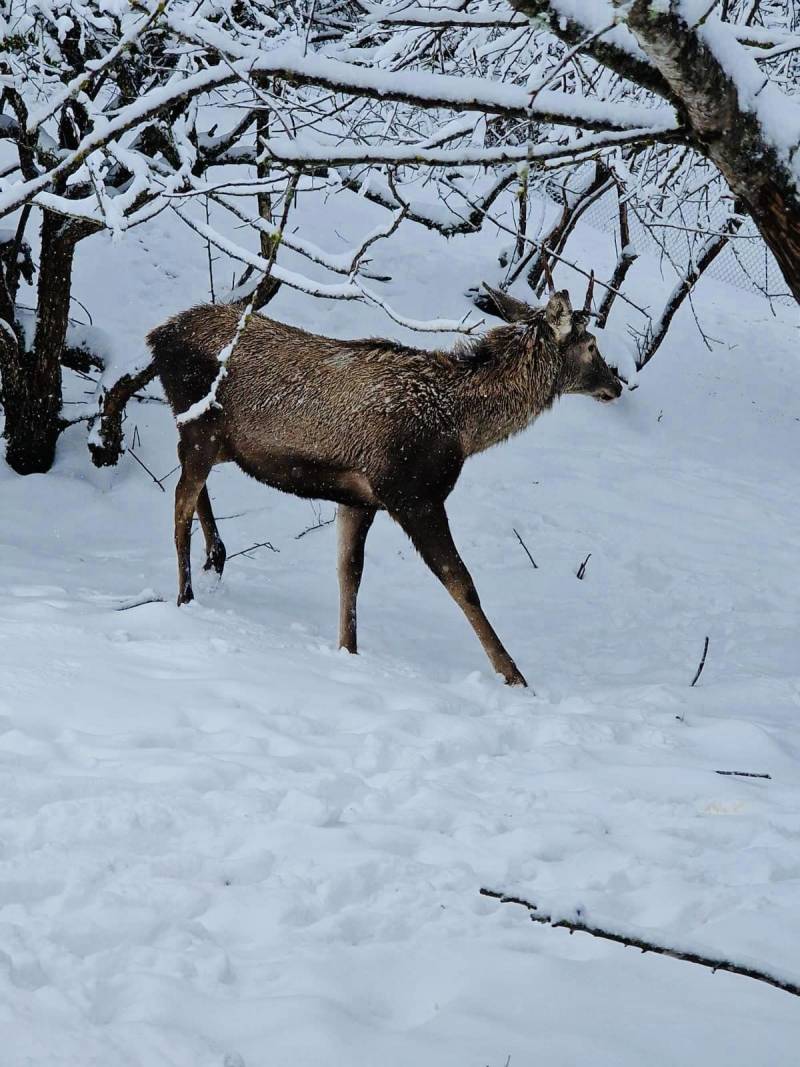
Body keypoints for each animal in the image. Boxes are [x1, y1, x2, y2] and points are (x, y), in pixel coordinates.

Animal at [147, 273, 622, 691]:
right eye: (592, 344)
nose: (617, 384)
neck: (465, 430)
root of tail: (157, 335)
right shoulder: (413, 493)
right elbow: (462, 583)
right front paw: (514, 675)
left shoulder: (360, 498)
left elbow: (349, 573)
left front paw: (348, 651)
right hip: (199, 428)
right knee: (180, 505)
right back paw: (186, 594)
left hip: (208, 438)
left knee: (195, 494)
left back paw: (216, 557)